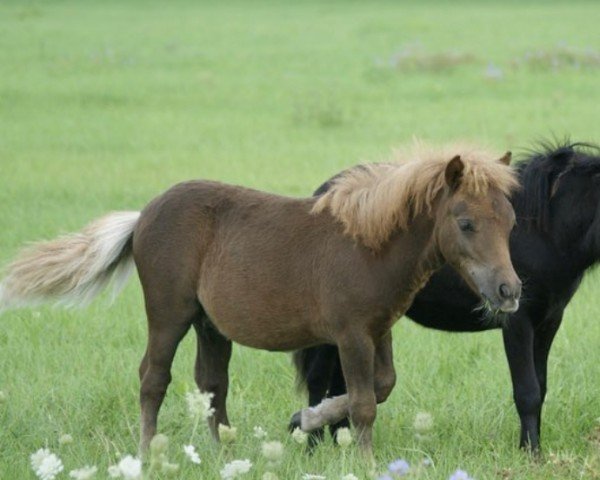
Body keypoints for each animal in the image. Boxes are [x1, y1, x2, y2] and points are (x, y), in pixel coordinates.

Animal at [0, 144, 520, 456]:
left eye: (511, 221)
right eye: (466, 223)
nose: (509, 291)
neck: (368, 245)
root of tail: (143, 215)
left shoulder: (379, 329)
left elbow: (382, 386)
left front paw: (308, 418)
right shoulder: (351, 334)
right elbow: (364, 402)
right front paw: (363, 458)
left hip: (209, 323)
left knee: (212, 382)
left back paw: (222, 452)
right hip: (169, 313)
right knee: (153, 378)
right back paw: (147, 453)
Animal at [288, 141, 596, 452]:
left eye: (512, 223)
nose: (509, 289)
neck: (546, 232)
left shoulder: (549, 321)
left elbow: (540, 387)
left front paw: (531, 448)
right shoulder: (518, 322)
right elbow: (527, 391)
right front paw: (531, 453)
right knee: (318, 380)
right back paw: (312, 446)